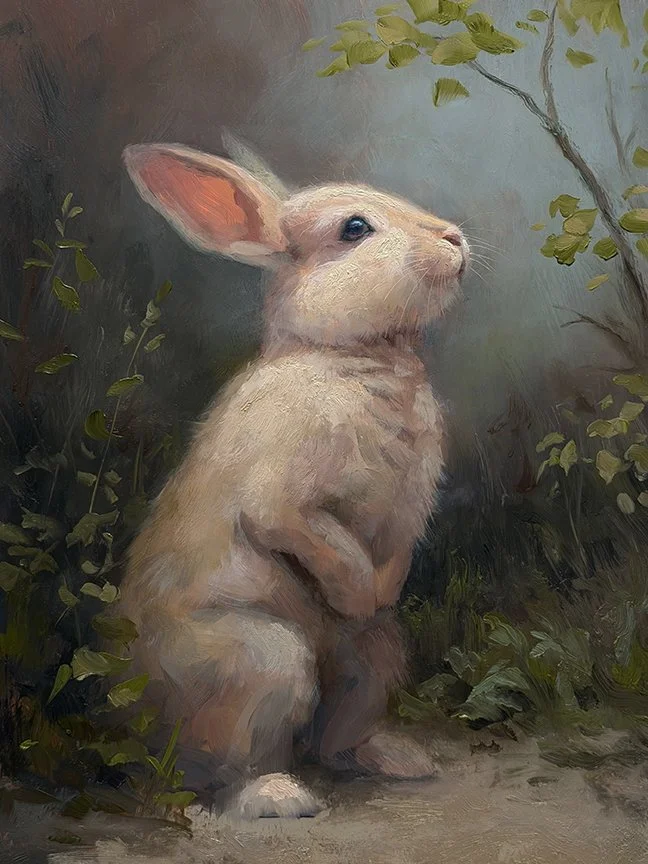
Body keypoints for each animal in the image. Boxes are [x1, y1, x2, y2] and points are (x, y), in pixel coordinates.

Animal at [118, 139, 469, 819]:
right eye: (354, 229)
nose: (454, 238)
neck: (351, 357)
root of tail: (133, 714)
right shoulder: (283, 497)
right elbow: (311, 534)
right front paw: (356, 593)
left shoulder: (407, 513)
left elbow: (392, 553)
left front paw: (379, 594)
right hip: (265, 664)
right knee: (220, 771)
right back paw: (278, 796)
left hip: (372, 664)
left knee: (336, 735)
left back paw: (399, 759)